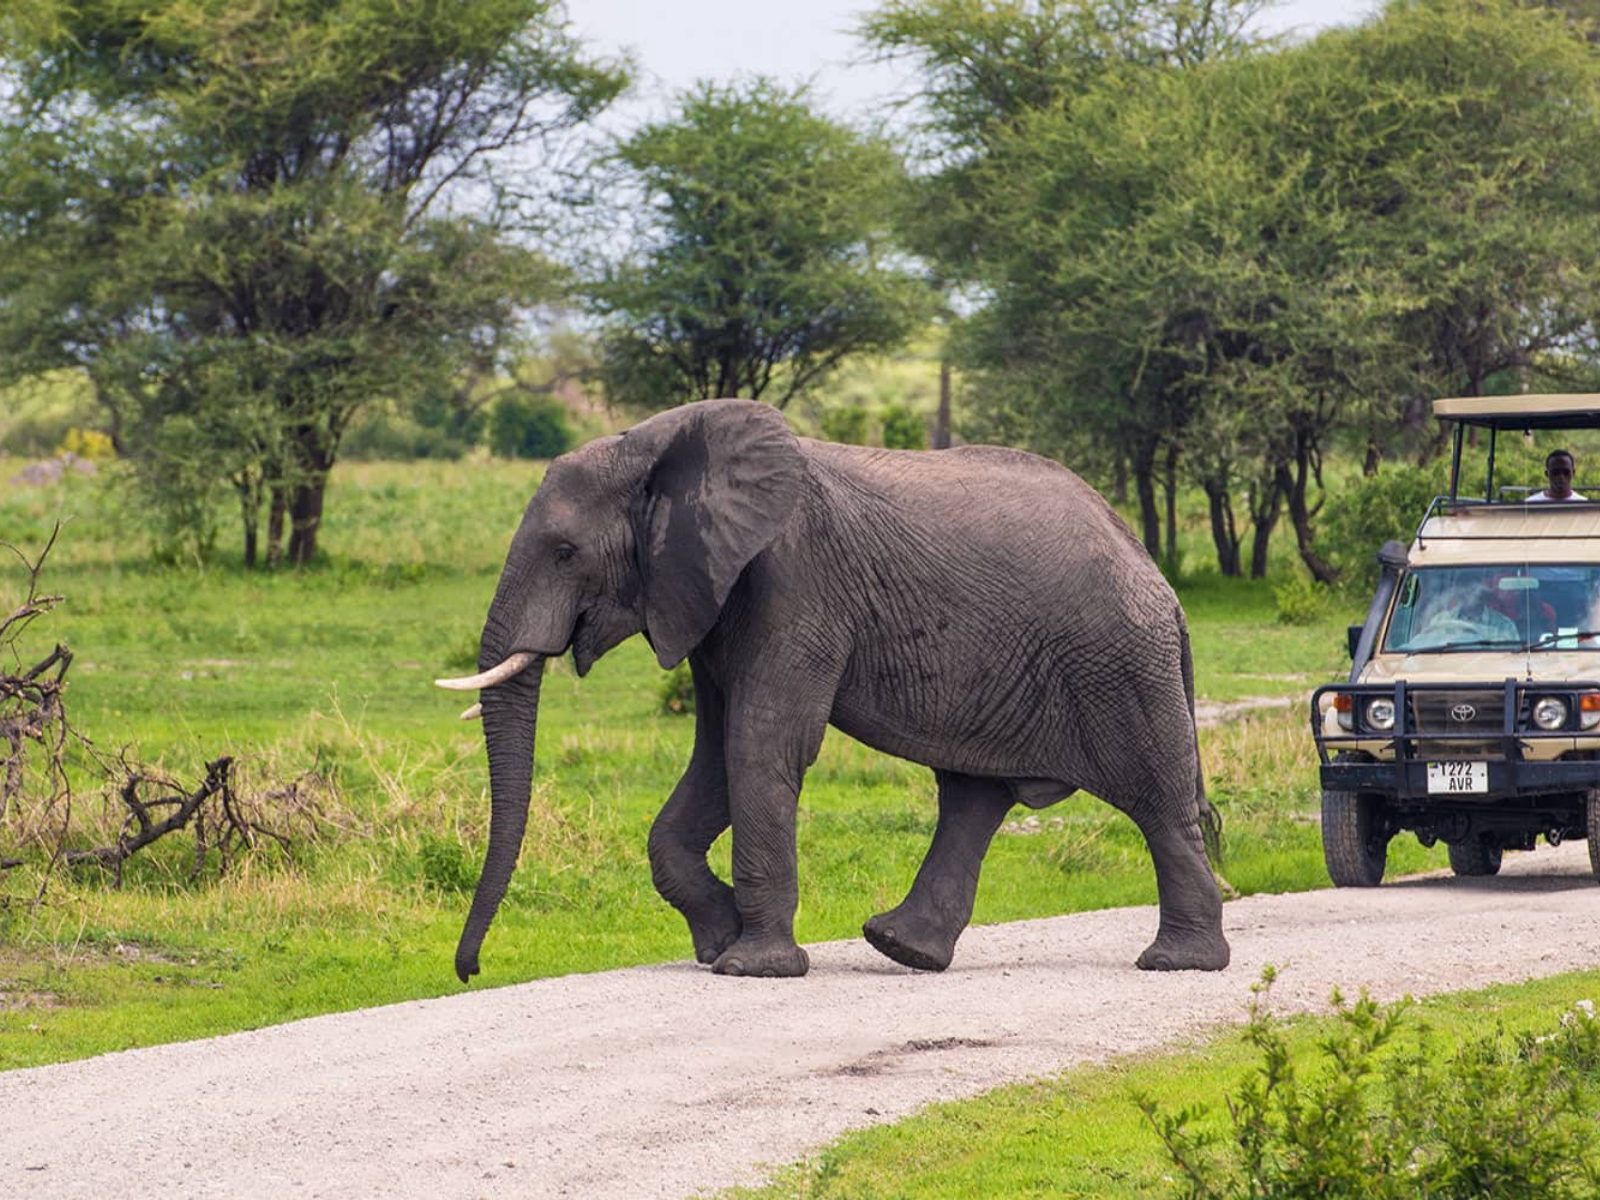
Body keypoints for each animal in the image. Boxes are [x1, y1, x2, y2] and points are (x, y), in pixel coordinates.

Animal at [441, 400, 1235, 979]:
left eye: (565, 552)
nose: (469, 971)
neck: (653, 445)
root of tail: (1158, 579)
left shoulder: (795, 583)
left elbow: (761, 746)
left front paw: (751, 969)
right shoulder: (709, 595)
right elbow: (716, 758)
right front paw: (717, 943)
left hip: (1121, 666)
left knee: (1156, 804)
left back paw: (1178, 964)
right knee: (974, 798)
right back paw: (902, 949)